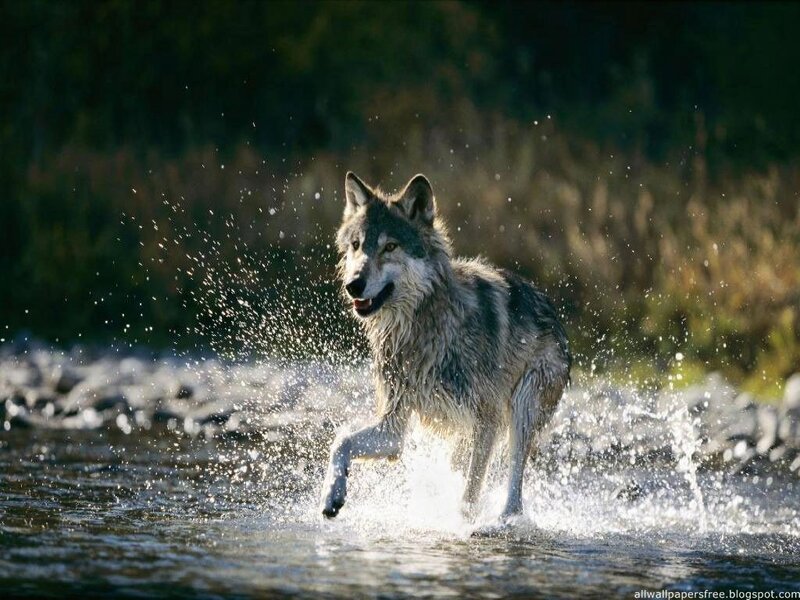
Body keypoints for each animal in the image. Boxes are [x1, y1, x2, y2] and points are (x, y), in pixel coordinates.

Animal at [320, 172, 571, 520]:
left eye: (390, 246)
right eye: (356, 246)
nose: (353, 284)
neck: (422, 331)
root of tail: (555, 315)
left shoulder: (487, 420)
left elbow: (469, 495)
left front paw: (462, 526)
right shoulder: (393, 428)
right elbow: (341, 441)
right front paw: (331, 495)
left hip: (521, 412)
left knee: (514, 492)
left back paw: (505, 521)